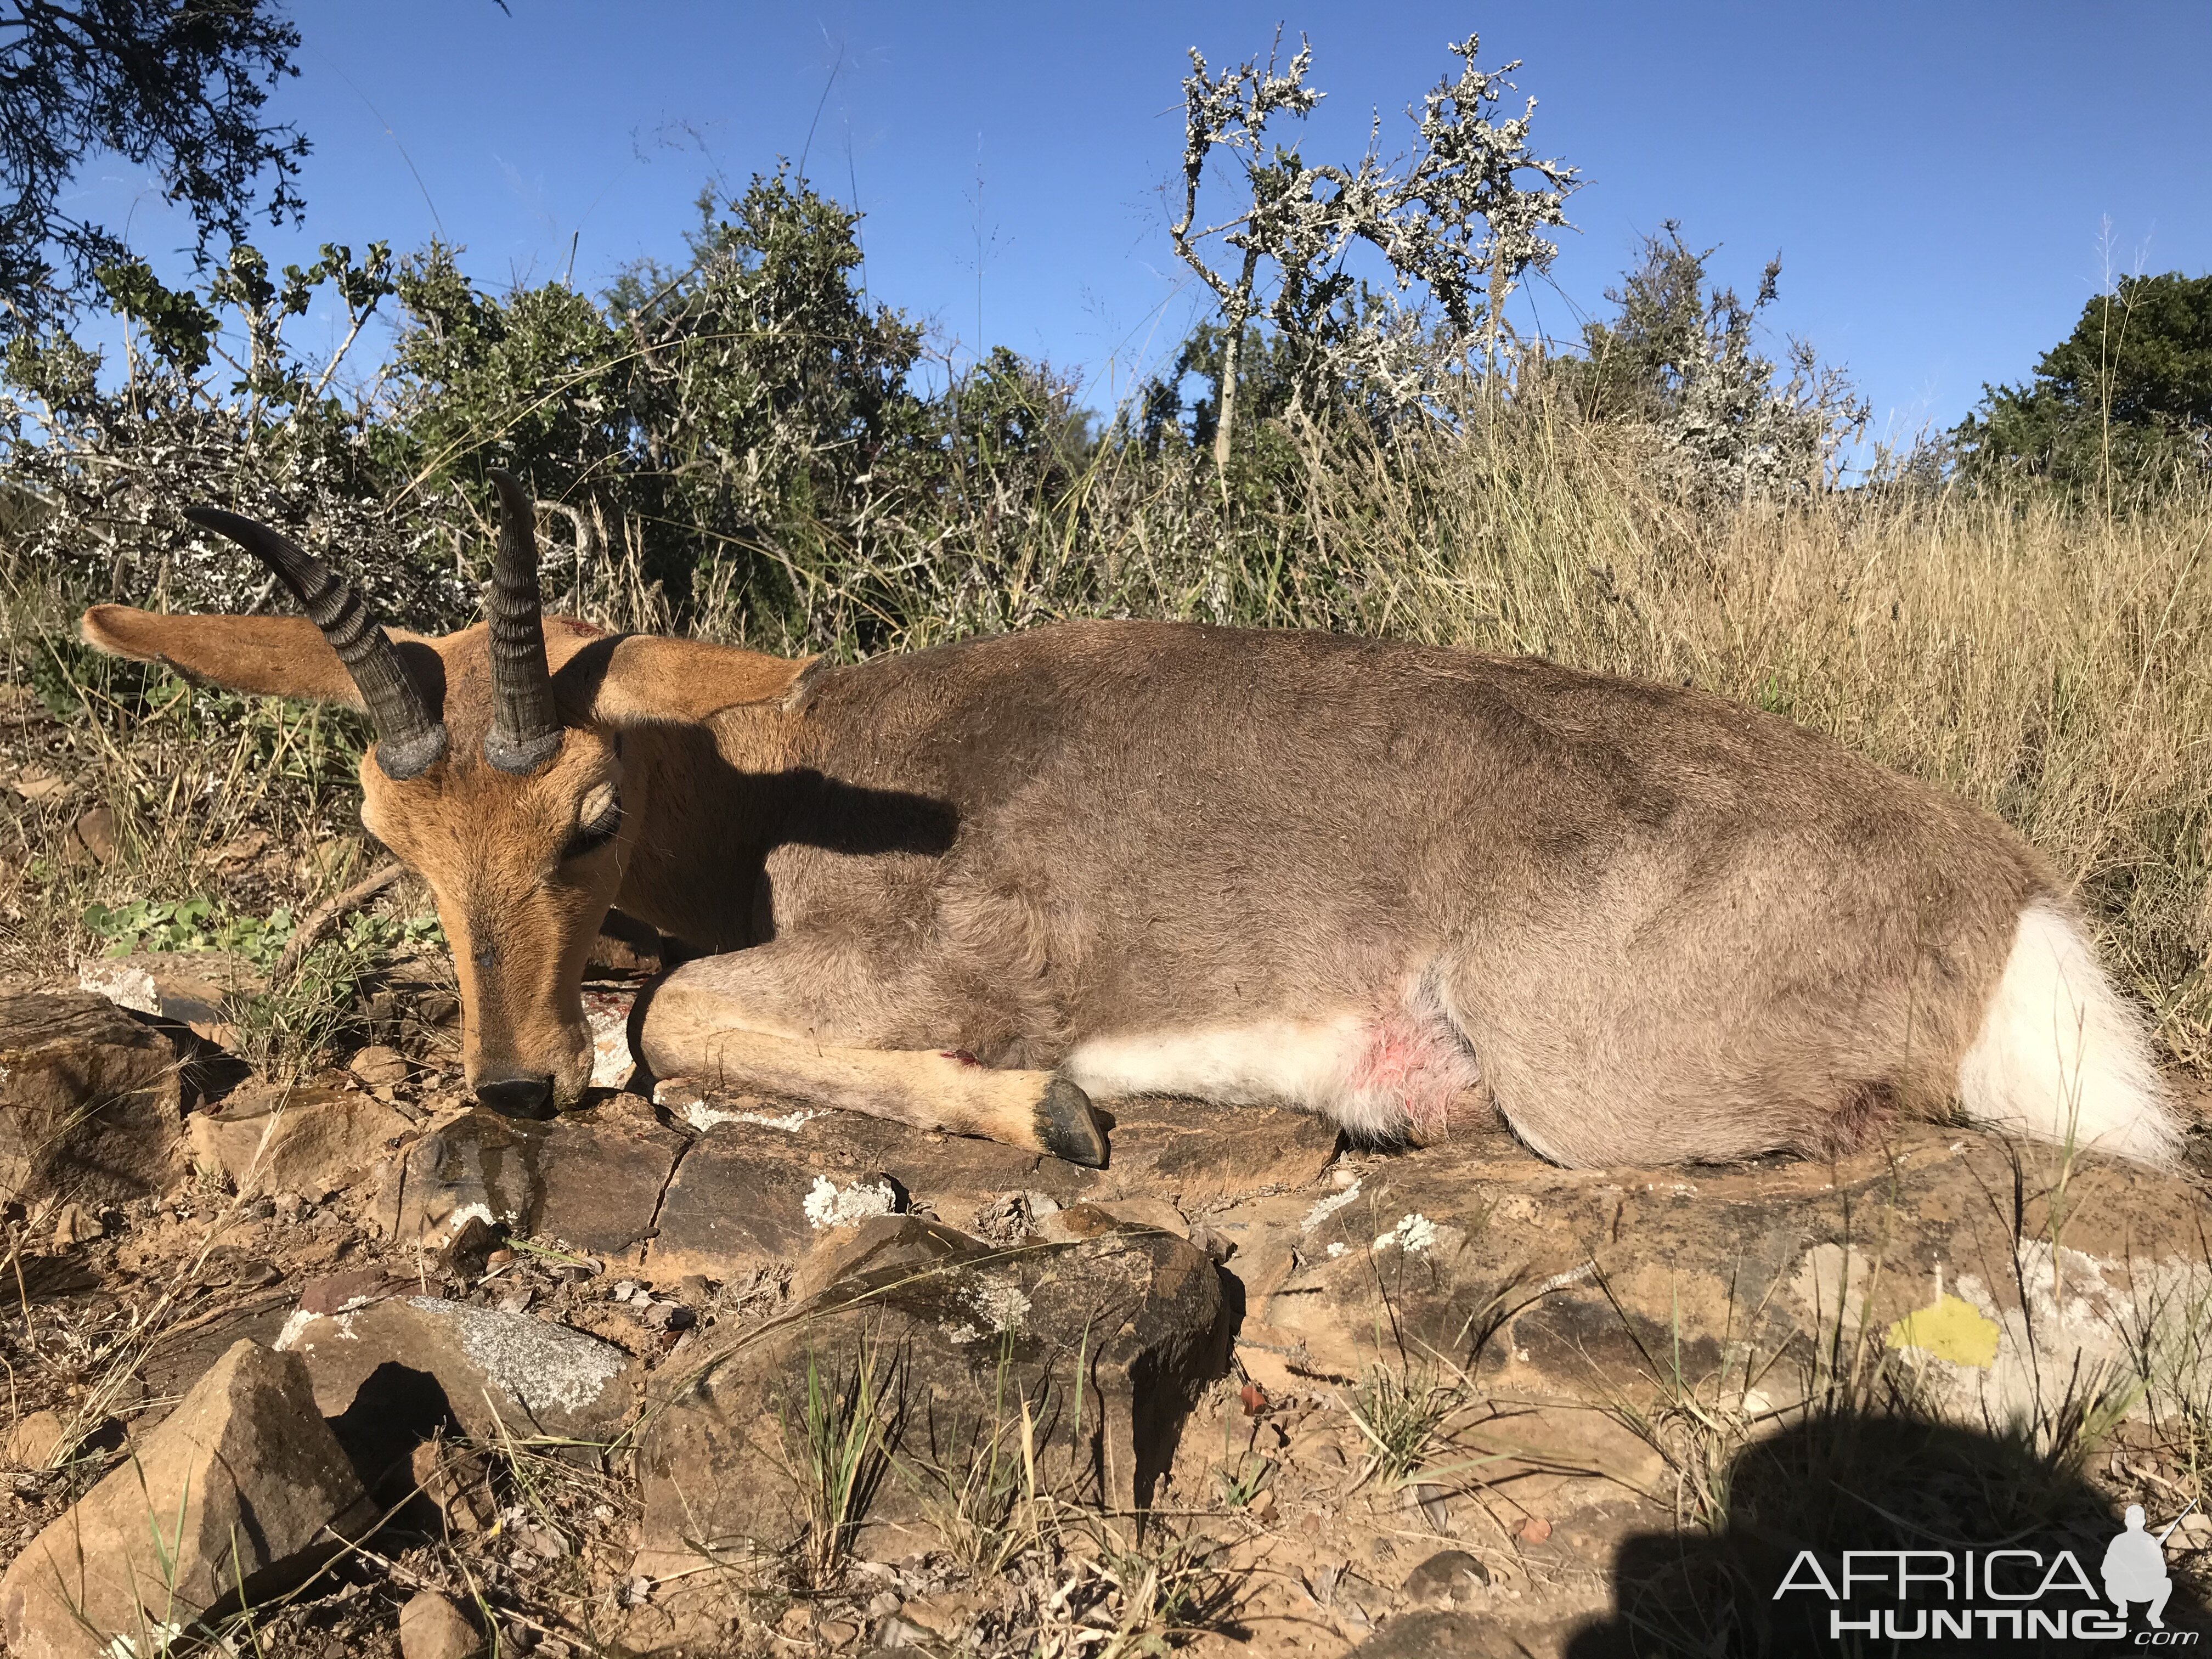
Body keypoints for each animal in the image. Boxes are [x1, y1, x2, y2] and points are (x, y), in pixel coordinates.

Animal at [82, 473, 2176, 1177]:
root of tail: (2005, 889)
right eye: (389, 831)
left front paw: (1057, 1113)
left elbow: (674, 1014)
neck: (781, 773)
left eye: (588, 810)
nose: (505, 1083)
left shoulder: (946, 959)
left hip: (1592, 1089)